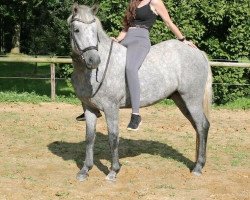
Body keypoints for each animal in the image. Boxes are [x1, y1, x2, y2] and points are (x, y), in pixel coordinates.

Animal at [68, 3, 211, 181]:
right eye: (76, 30)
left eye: (95, 30)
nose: (94, 60)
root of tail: (198, 52)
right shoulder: (89, 108)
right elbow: (89, 138)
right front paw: (85, 169)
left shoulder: (111, 108)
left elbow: (113, 137)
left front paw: (113, 171)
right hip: (181, 100)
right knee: (197, 127)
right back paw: (196, 163)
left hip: (192, 100)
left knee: (203, 126)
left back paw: (198, 167)